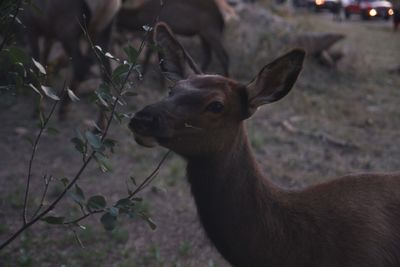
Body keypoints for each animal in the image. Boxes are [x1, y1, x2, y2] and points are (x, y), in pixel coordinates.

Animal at [20, 0, 120, 129]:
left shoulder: (30, 25)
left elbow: (37, 65)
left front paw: (38, 109)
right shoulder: (48, 32)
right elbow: (44, 61)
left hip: (67, 31)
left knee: (81, 67)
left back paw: (64, 110)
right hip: (104, 31)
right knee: (107, 72)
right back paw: (100, 125)